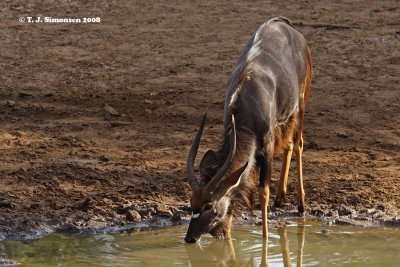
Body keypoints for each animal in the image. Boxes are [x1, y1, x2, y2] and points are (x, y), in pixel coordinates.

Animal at [184, 15, 312, 244]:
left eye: (209, 205)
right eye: (191, 203)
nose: (190, 238)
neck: (245, 104)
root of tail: (287, 25)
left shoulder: (267, 146)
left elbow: (263, 193)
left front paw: (265, 238)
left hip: (300, 106)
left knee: (298, 143)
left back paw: (301, 205)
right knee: (289, 145)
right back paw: (281, 198)